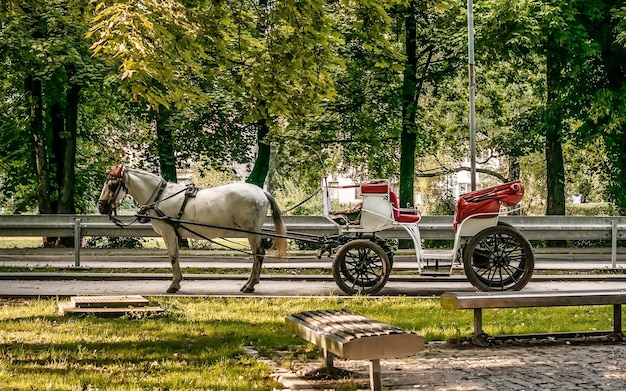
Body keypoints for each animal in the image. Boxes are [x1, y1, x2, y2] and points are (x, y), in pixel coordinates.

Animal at [96, 165, 286, 294]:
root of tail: (261, 192)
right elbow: (176, 256)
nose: (101, 207)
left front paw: (174, 284)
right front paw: (177, 281)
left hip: (251, 230)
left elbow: (173, 257)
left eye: (112, 185)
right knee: (256, 255)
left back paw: (250, 285)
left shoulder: (168, 232)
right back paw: (248, 284)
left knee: (258, 253)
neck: (161, 196)